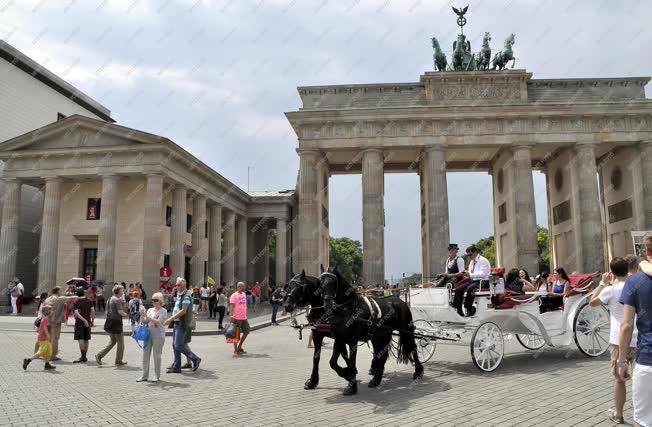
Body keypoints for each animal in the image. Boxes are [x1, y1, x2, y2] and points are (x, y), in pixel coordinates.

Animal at [320, 266, 422, 396]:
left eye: (333, 282)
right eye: (321, 282)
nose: (327, 303)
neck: (348, 309)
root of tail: (400, 301)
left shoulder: (352, 341)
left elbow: (352, 362)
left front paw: (351, 386)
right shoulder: (339, 339)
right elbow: (332, 362)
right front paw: (345, 374)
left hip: (405, 330)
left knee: (413, 347)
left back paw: (418, 371)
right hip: (382, 334)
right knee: (382, 354)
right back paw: (376, 379)